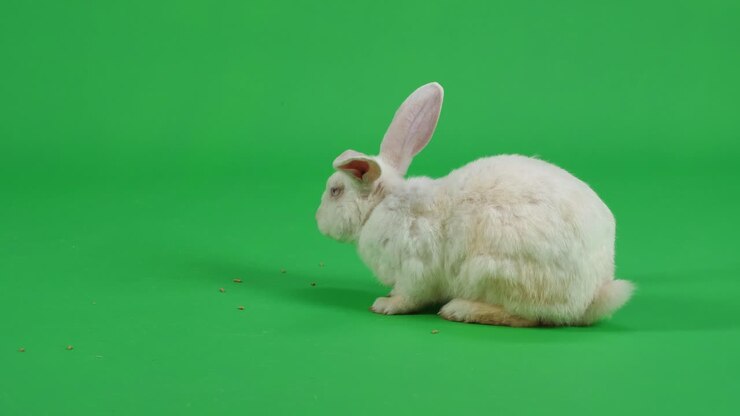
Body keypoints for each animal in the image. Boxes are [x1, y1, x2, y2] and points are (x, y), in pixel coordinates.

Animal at [315, 82, 633, 327]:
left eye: (335, 191)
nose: (317, 220)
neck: (381, 205)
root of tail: (592, 293)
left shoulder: (414, 268)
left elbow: (410, 296)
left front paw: (385, 304)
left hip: (491, 271)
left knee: (527, 317)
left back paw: (459, 309)